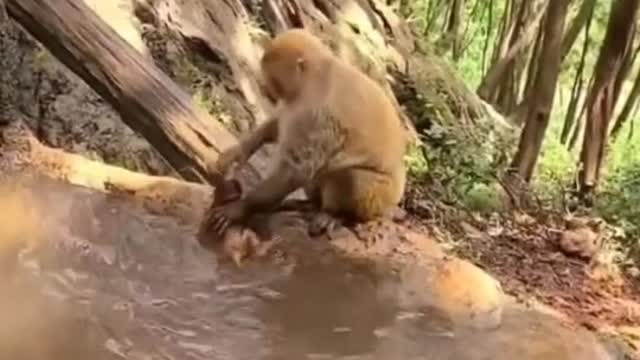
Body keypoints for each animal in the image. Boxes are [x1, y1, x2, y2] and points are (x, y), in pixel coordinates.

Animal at [202, 28, 408, 239]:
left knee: (350, 176)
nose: (267, 88)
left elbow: (297, 170)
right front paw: (239, 151)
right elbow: (278, 125)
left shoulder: (317, 112)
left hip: (380, 200)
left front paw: (240, 208)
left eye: (274, 79)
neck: (318, 73)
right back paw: (311, 204)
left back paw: (335, 214)